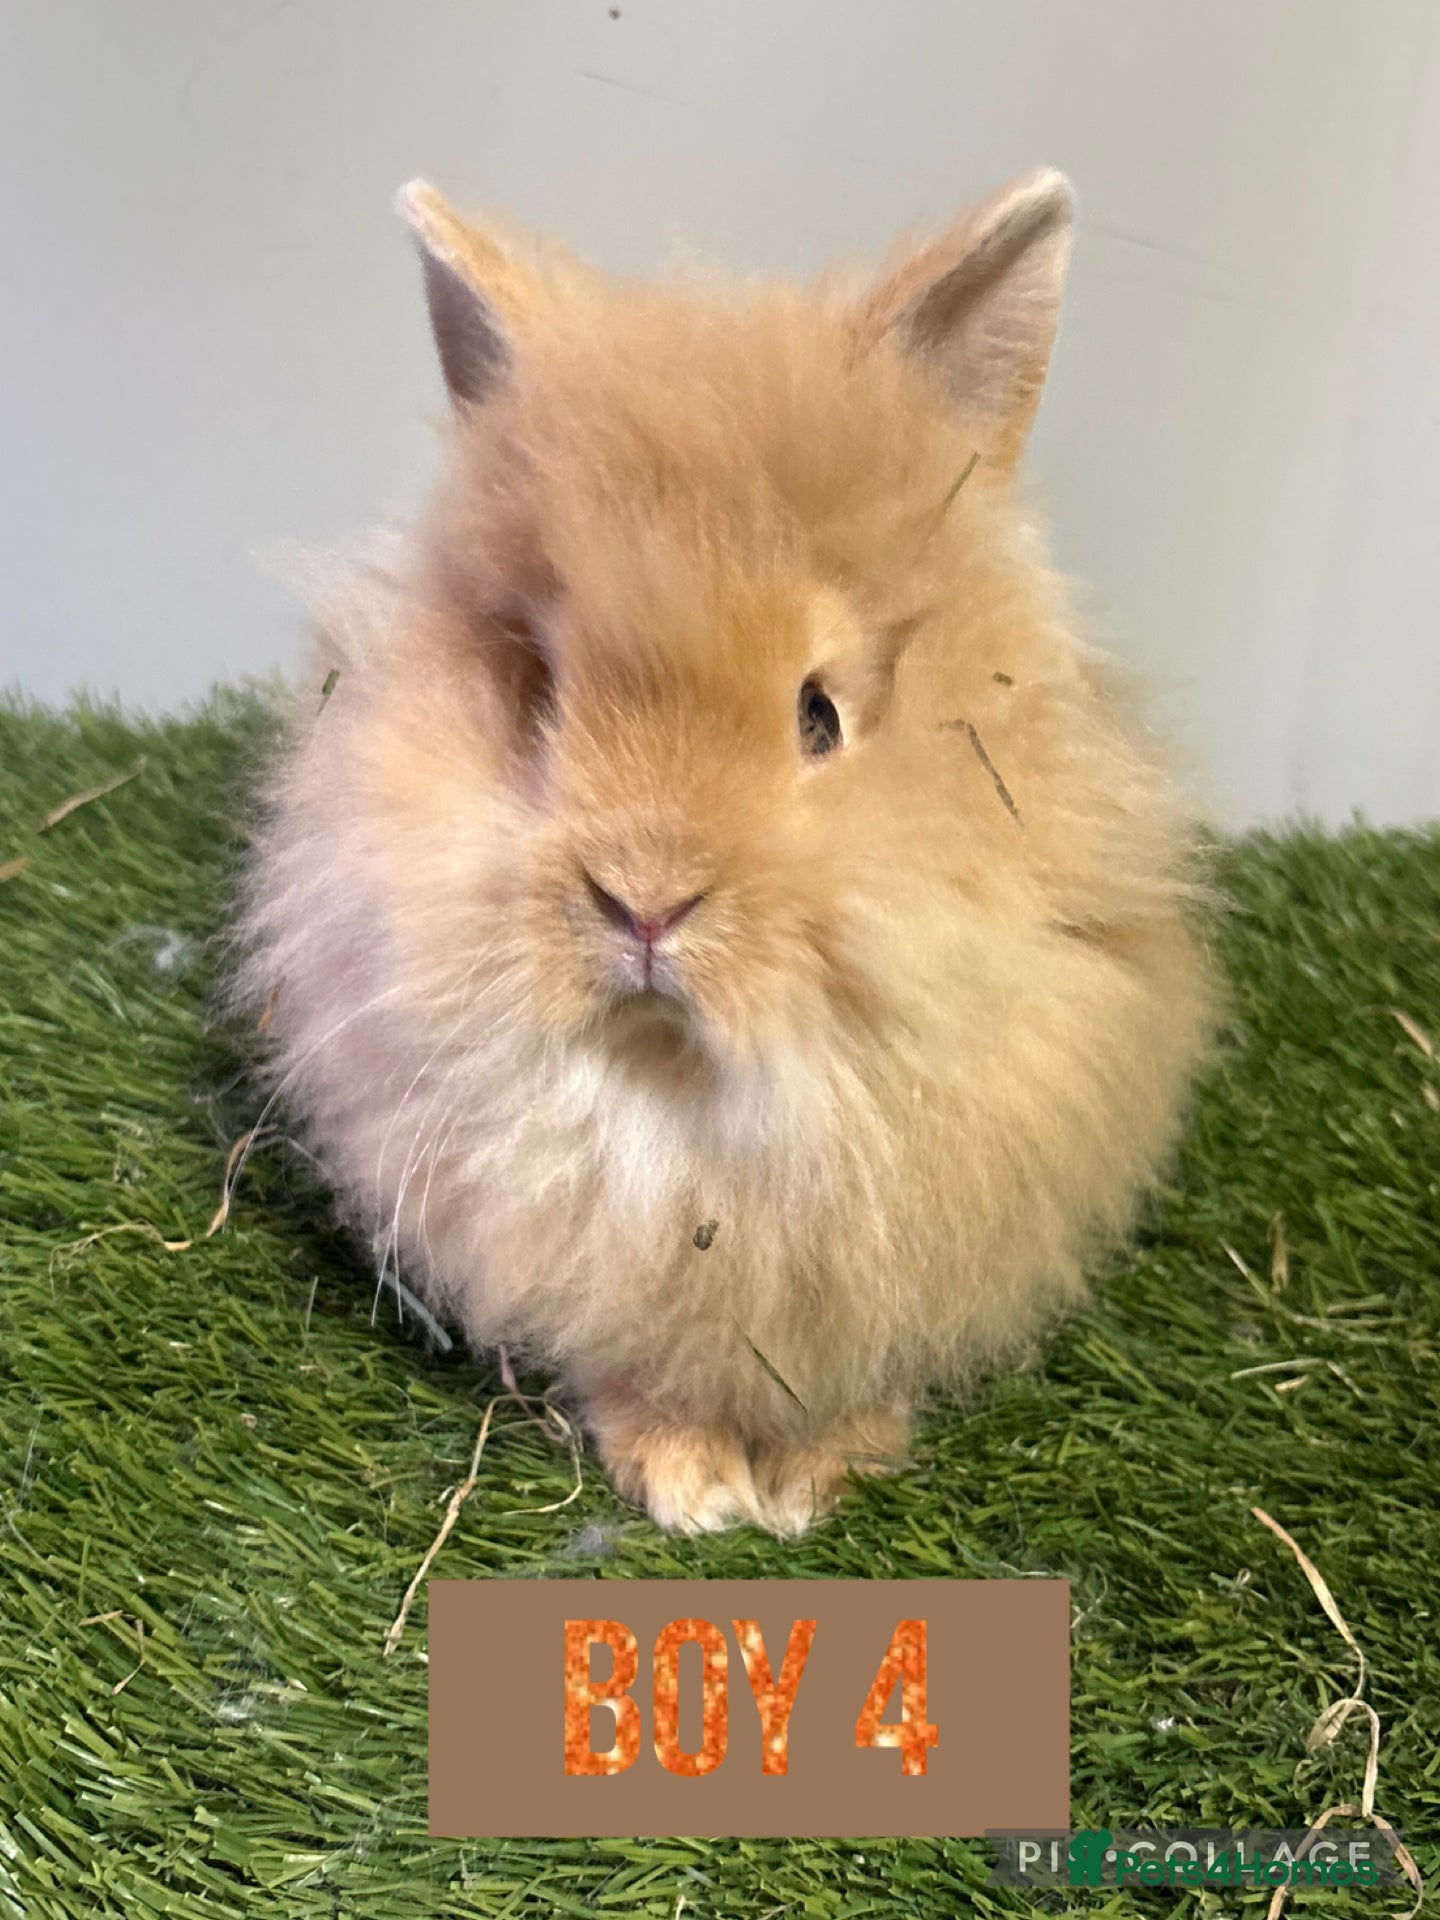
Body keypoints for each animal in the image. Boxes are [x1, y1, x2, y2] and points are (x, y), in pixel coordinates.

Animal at [237, 169, 1213, 1536]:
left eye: (821, 715)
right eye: (542, 695)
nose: (645, 901)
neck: (691, 1090)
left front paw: (816, 1486)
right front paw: (692, 1489)